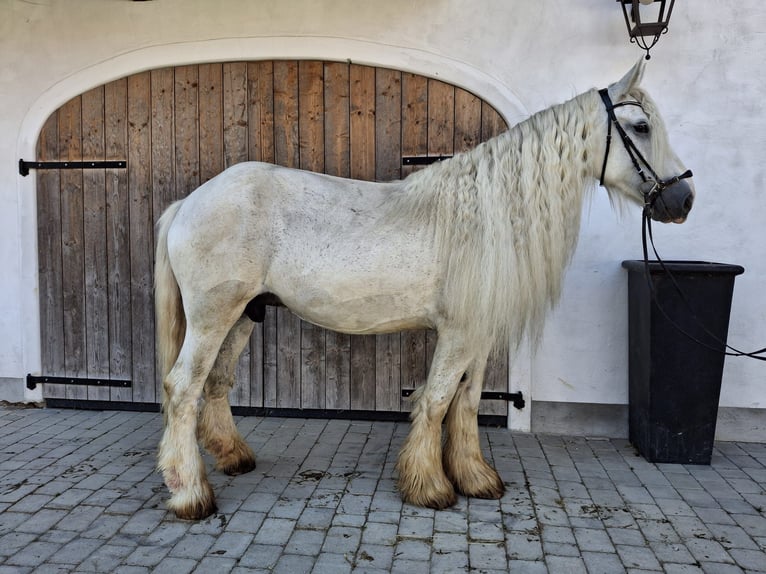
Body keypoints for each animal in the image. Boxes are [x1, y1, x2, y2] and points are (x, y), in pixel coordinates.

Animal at [154, 59, 694, 520]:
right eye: (641, 127)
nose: (683, 199)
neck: (488, 216)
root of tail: (190, 202)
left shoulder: (479, 334)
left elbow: (468, 402)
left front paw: (476, 478)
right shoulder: (456, 333)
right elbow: (436, 400)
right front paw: (430, 486)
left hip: (246, 314)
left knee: (217, 383)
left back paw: (233, 458)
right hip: (212, 317)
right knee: (183, 388)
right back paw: (190, 495)